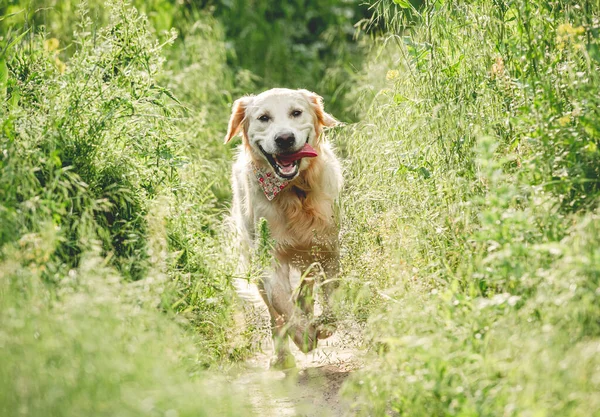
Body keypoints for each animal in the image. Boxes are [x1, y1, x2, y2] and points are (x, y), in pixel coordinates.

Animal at [224, 88, 342, 368]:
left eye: (296, 113)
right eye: (263, 118)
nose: (285, 139)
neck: (295, 192)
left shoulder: (328, 246)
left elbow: (331, 291)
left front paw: (325, 324)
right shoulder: (269, 257)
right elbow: (281, 304)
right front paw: (303, 336)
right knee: (274, 313)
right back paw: (283, 357)